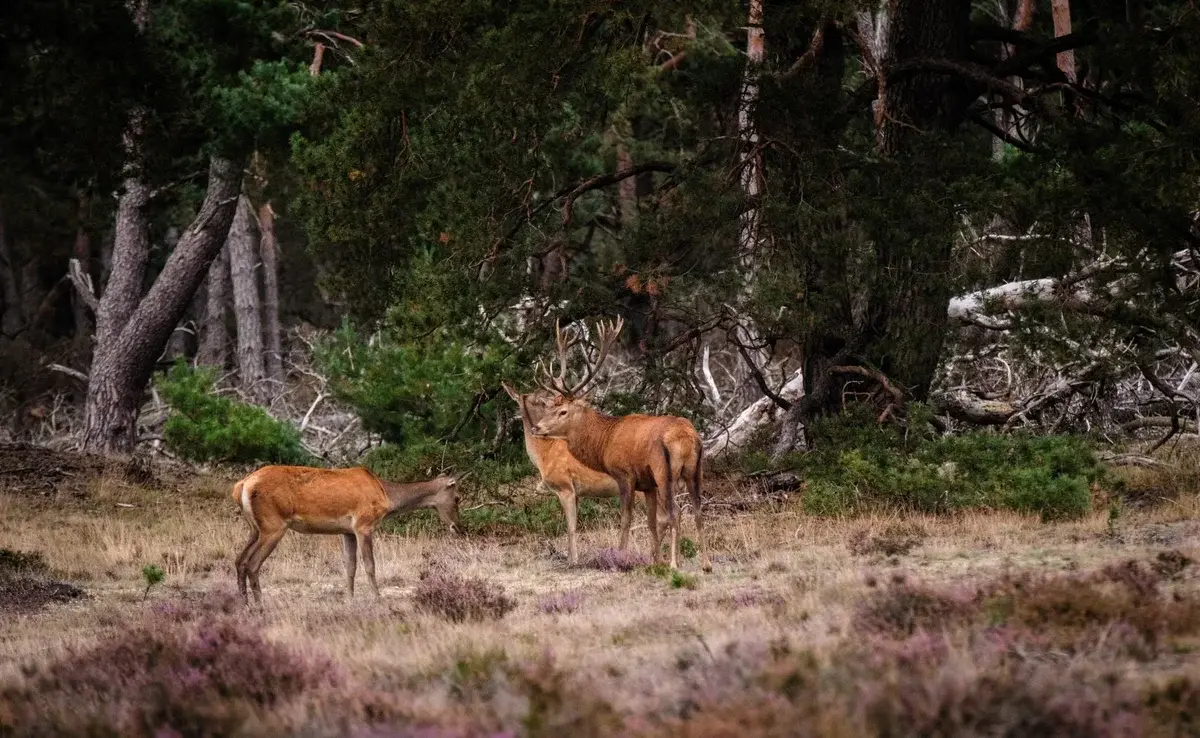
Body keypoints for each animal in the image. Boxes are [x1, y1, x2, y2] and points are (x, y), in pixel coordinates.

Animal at [231, 465, 463, 604]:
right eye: (457, 498)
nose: (458, 528)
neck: (387, 497)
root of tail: (241, 486)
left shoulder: (346, 531)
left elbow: (350, 566)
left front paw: (349, 599)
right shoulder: (363, 525)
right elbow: (369, 564)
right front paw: (377, 598)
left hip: (255, 528)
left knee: (239, 560)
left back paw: (244, 602)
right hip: (274, 524)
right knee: (253, 563)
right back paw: (260, 604)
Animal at [501, 383, 667, 565]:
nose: (535, 428)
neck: (544, 453)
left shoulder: (564, 487)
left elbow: (571, 526)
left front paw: (572, 560)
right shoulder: (577, 493)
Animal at [529, 316, 711, 572]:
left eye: (562, 411)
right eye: (550, 408)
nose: (536, 428)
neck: (605, 441)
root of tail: (686, 438)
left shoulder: (625, 474)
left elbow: (626, 519)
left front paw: (621, 556)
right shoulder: (647, 484)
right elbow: (651, 521)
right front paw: (655, 560)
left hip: (664, 470)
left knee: (675, 512)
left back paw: (675, 564)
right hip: (695, 470)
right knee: (697, 511)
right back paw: (706, 564)